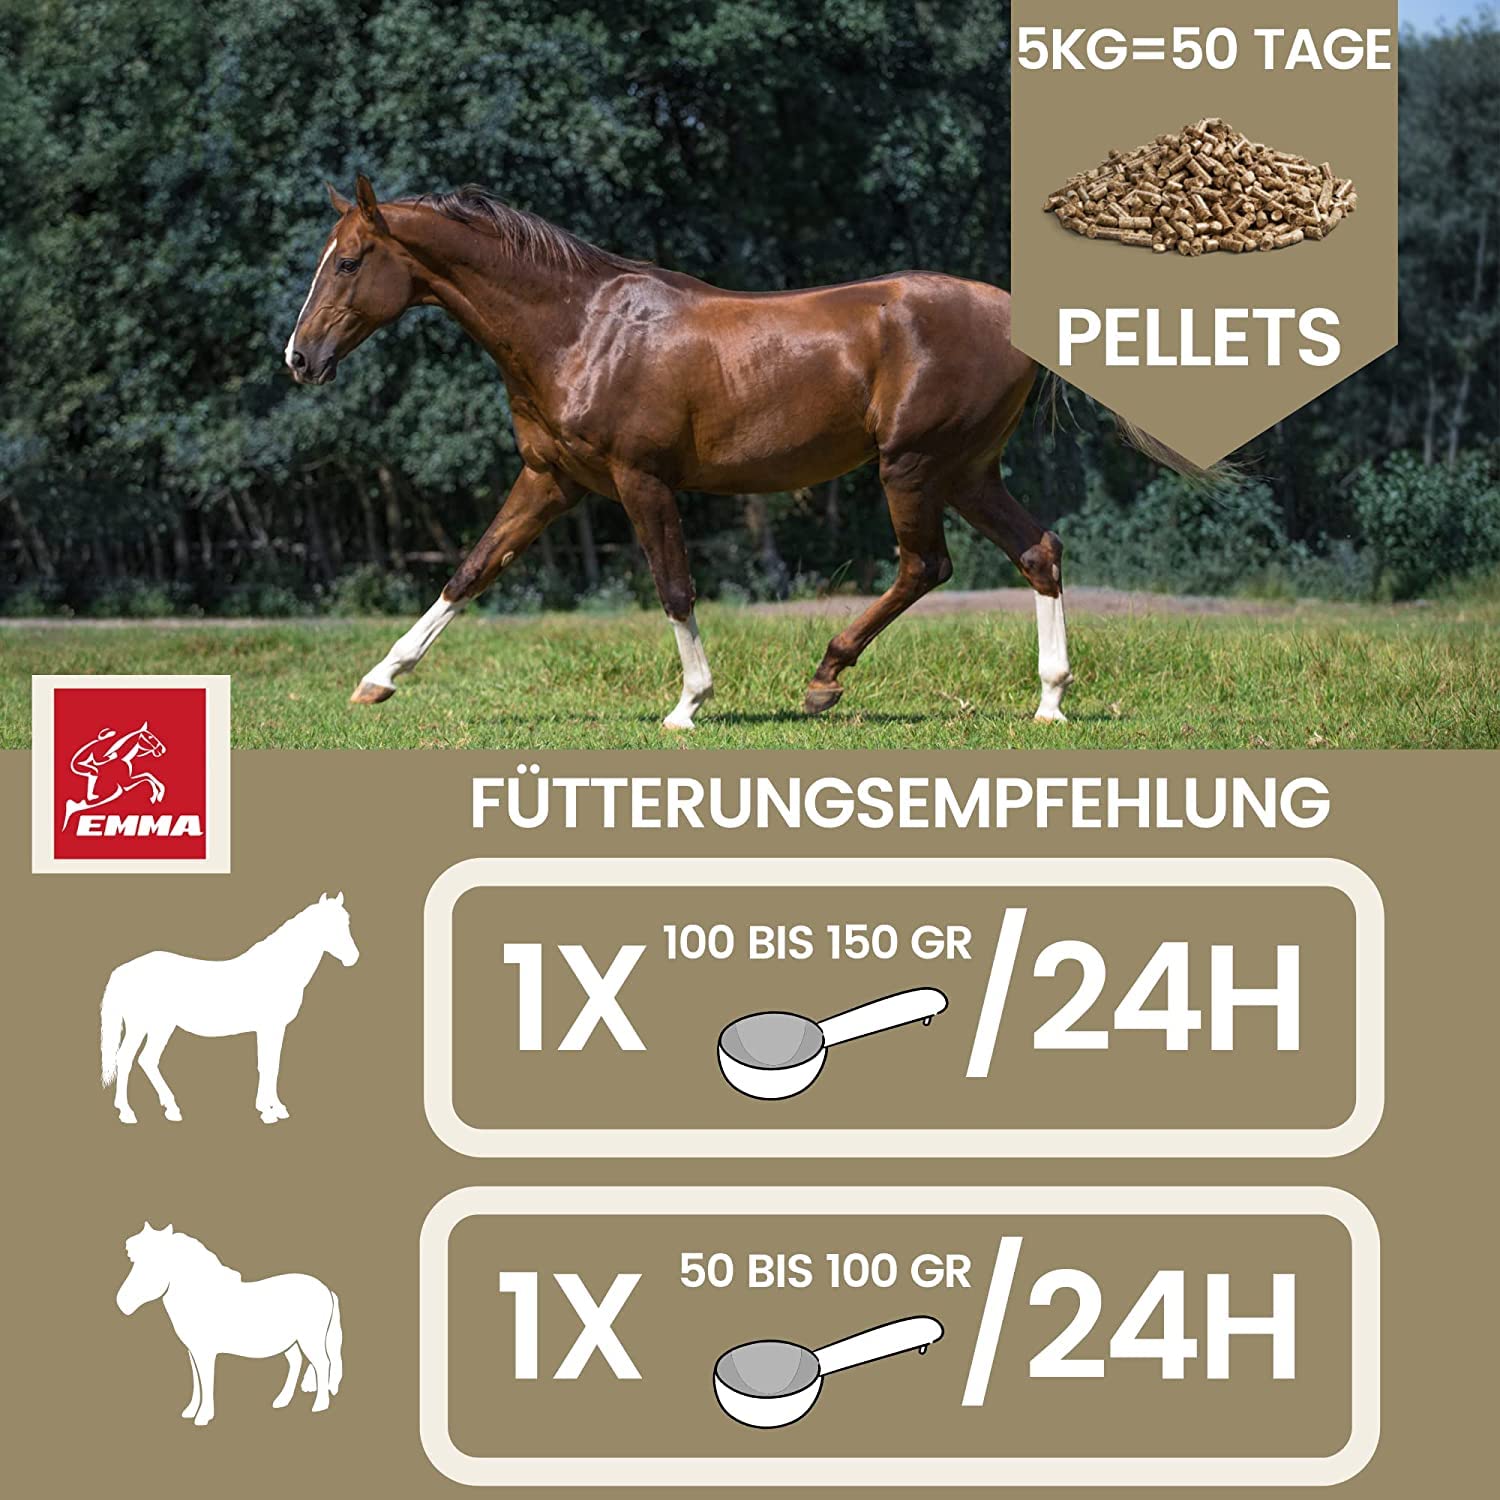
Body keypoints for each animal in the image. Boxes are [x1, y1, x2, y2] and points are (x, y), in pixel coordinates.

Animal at [101, 892, 359, 1126]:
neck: (276, 970)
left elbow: (273, 1065)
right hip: (140, 1025)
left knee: (148, 1060)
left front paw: (277, 1108)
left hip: (162, 1026)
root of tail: (124, 970)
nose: (353, 958)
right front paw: (267, 1111)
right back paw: (127, 1113)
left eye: (346, 923)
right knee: (126, 1059)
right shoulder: (268, 1027)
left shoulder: (277, 1029)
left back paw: (171, 1109)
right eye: (329, 926)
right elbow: (266, 1065)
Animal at [115, 1222, 342, 1427]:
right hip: (291, 1342)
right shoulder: (192, 1352)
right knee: (297, 1363)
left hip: (310, 1340)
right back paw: (282, 1401)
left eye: (153, 1264)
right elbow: (197, 1381)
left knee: (323, 1364)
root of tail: (326, 1289)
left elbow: (206, 1381)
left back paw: (319, 1405)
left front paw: (203, 1417)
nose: (121, 1302)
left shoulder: (205, 1353)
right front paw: (190, 1411)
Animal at [285, 177, 1196, 729]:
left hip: (913, 466)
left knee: (925, 565)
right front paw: (379, 678)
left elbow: (675, 587)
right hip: (967, 470)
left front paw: (689, 704)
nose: (299, 358)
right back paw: (1049, 700)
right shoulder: (553, 480)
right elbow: (471, 570)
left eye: (351, 260)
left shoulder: (640, 480)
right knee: (1037, 550)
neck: (579, 327)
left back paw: (827, 678)